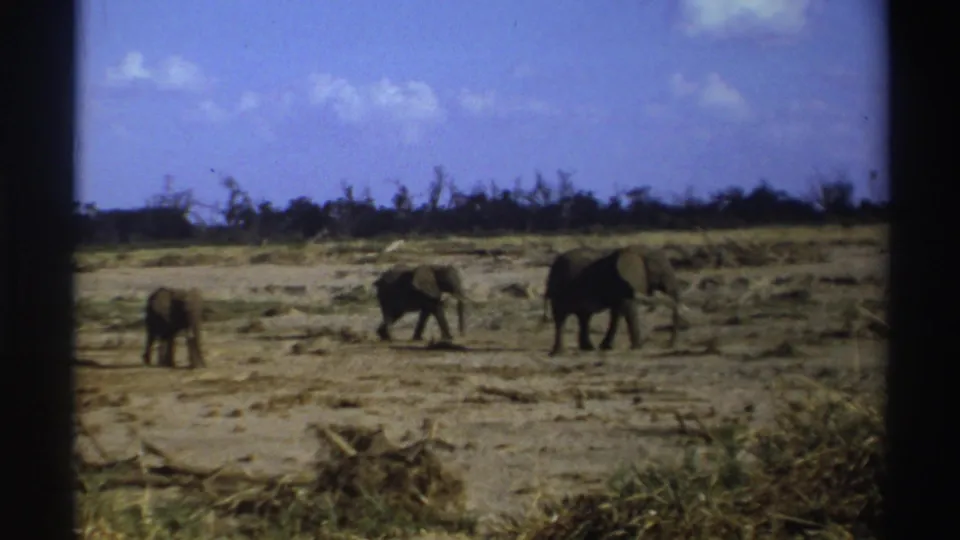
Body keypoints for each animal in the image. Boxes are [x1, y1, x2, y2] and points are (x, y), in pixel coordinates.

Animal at [541, 245, 682, 356]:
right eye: (661, 271)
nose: (667, 344)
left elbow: (617, 312)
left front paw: (606, 347)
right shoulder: (621, 282)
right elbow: (628, 309)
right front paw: (638, 347)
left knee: (584, 317)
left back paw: (588, 349)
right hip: (559, 289)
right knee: (561, 318)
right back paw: (559, 353)